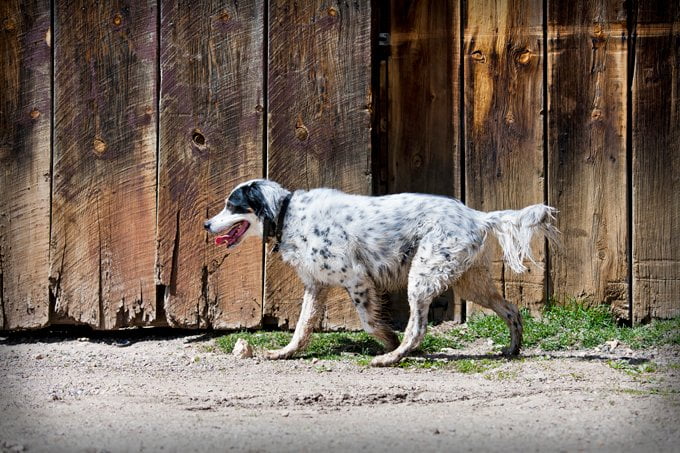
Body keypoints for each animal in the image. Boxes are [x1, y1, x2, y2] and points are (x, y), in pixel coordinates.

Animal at [203, 178, 556, 366]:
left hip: (422, 278)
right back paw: (512, 349)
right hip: (472, 283)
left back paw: (393, 357)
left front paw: (388, 341)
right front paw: (283, 352)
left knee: (418, 329)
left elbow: (369, 322)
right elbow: (302, 328)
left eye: (233, 205)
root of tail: (478, 216)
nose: (206, 223)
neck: (288, 214)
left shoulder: (356, 278)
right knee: (511, 310)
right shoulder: (315, 287)